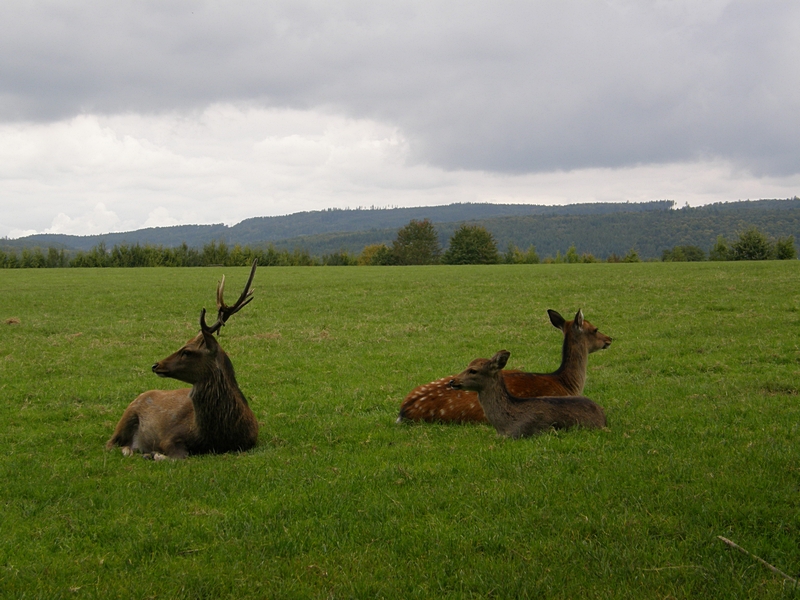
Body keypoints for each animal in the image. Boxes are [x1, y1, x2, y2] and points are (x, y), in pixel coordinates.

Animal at [106, 260, 259, 460]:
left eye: (186, 351)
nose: (156, 365)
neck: (216, 435)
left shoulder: (250, 440)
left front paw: (152, 454)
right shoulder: (170, 436)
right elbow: (179, 456)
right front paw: (153, 454)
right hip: (127, 415)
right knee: (110, 443)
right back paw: (132, 450)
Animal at [448, 350, 607, 438]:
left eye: (473, 370)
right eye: (467, 366)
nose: (452, 381)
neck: (505, 426)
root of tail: (602, 413)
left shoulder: (534, 430)